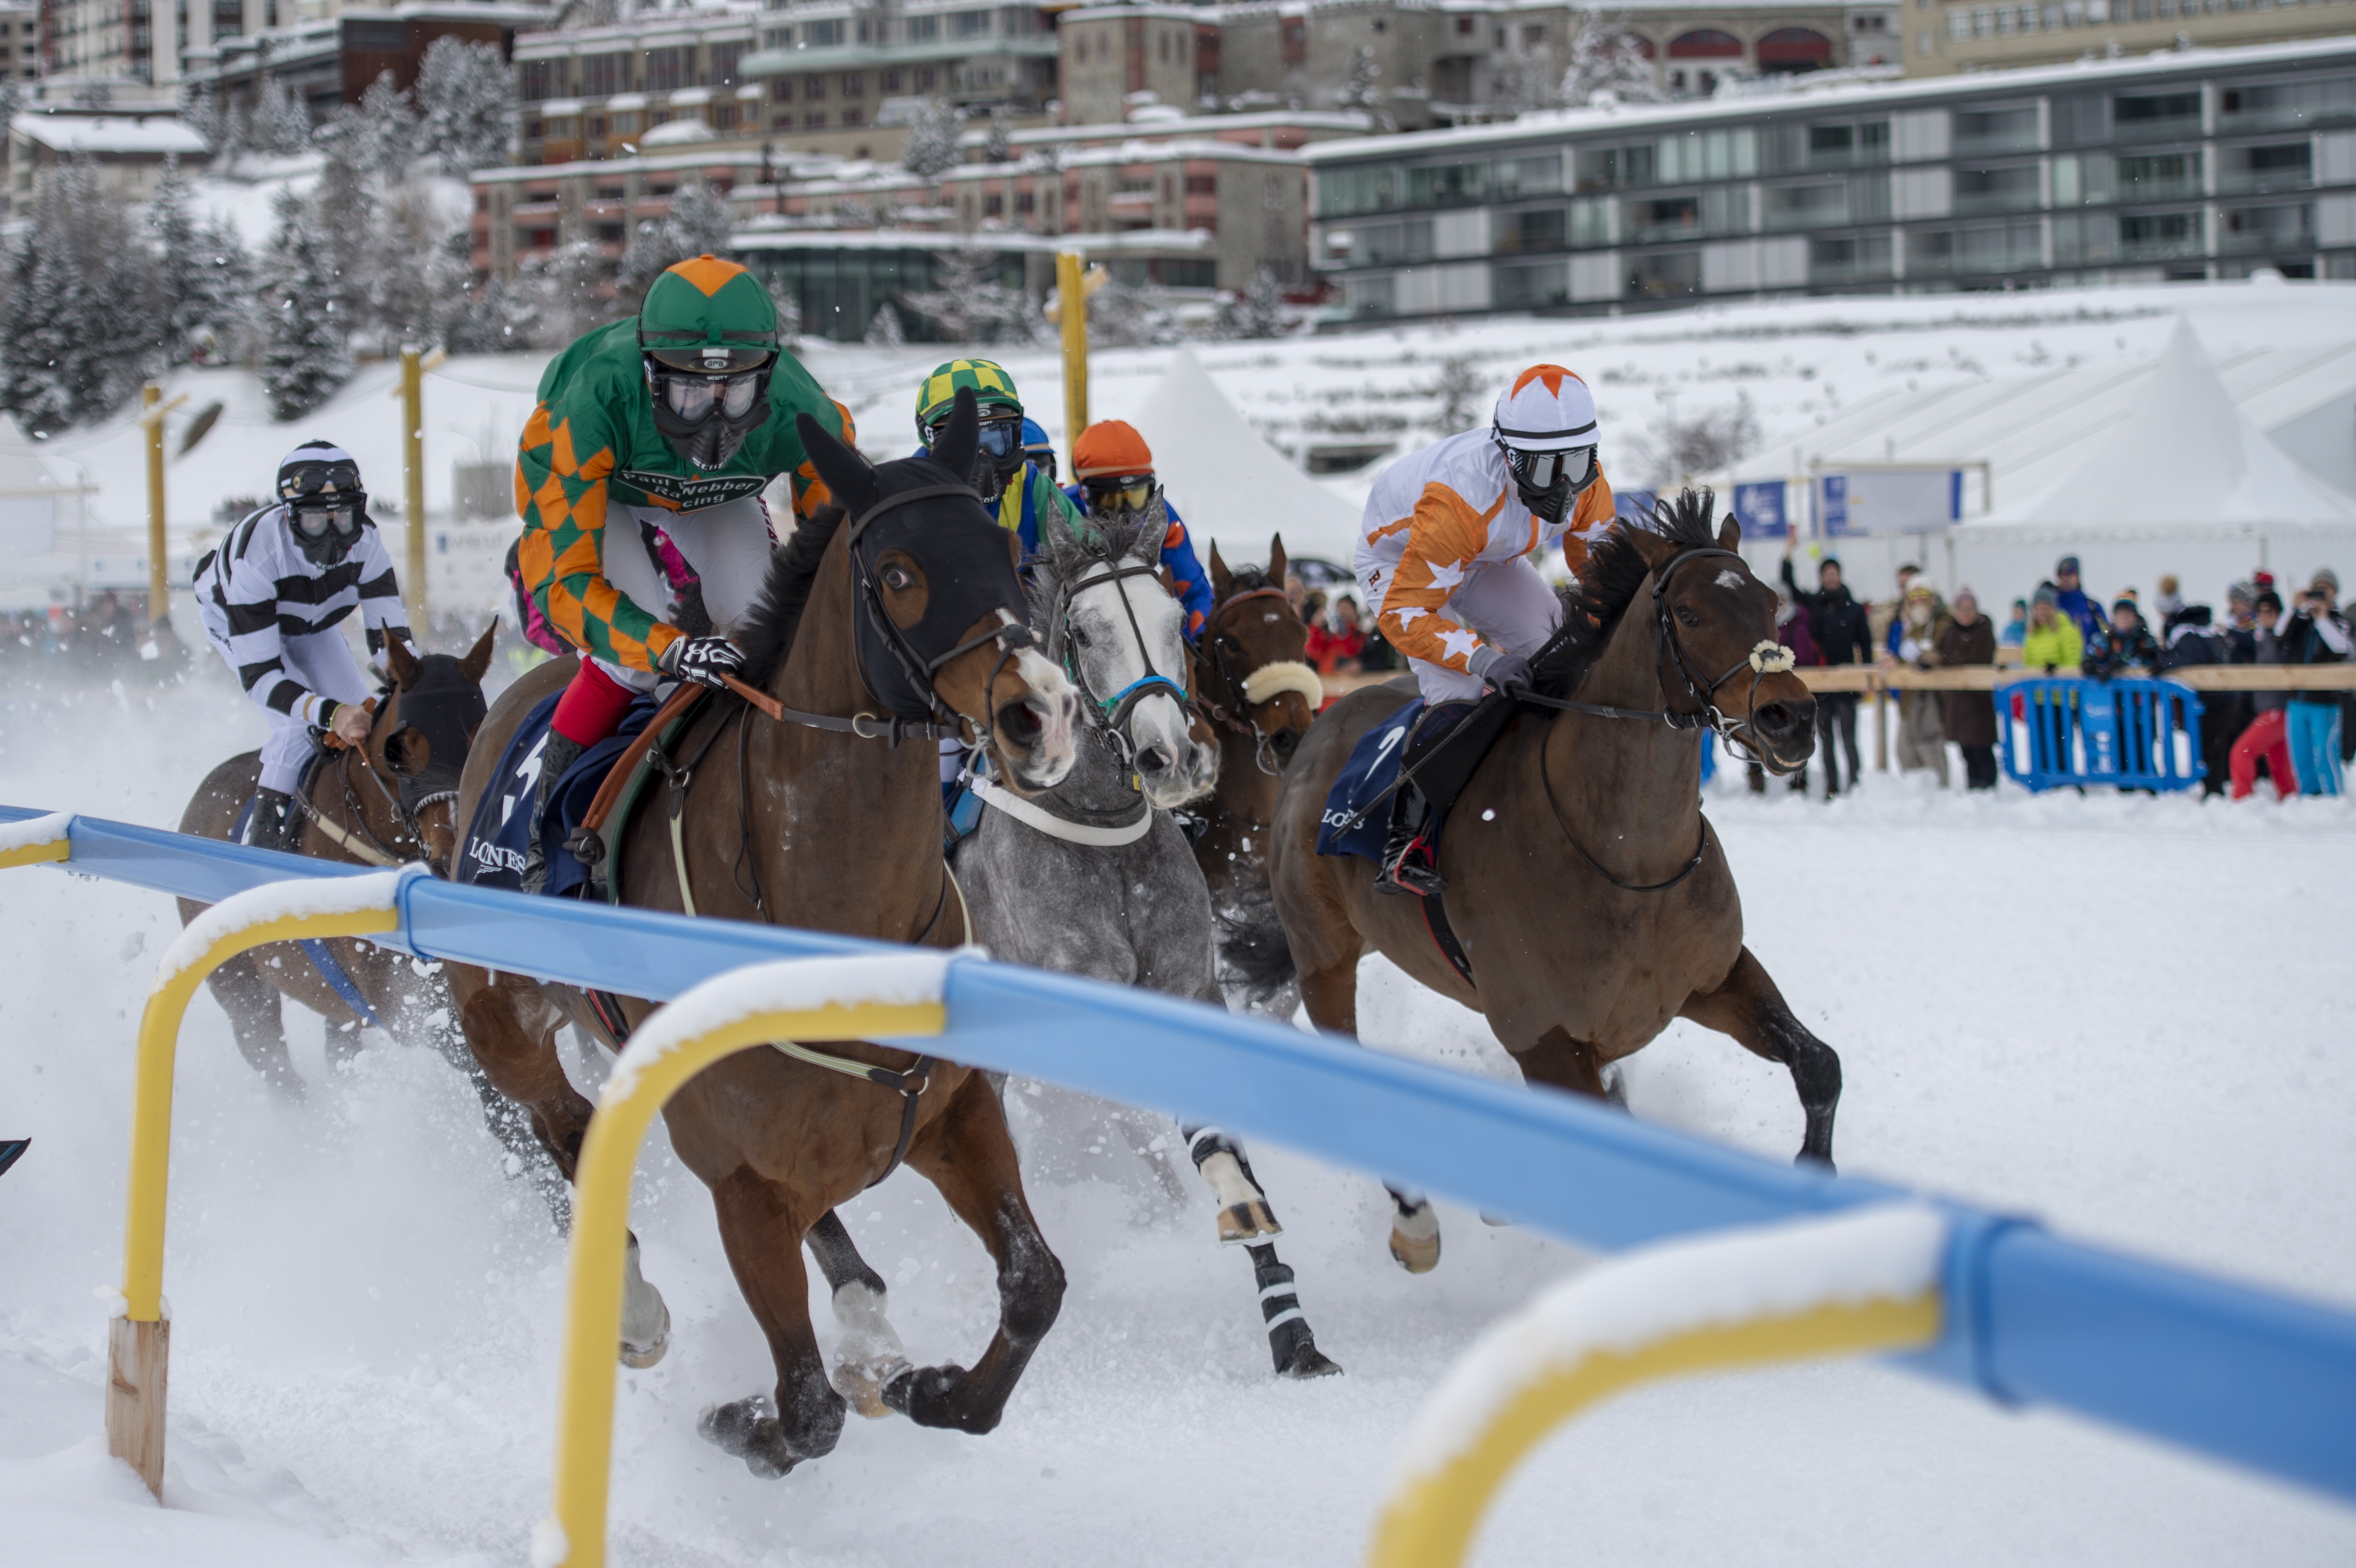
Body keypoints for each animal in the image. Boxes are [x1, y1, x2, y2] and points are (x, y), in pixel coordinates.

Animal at [445, 398, 1079, 1469]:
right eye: (898, 575)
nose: (1040, 711)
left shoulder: (951, 1113)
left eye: (1009, 552)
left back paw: (867, 1328)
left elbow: (1035, 1285)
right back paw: (636, 1309)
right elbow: (806, 1410)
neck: (834, 920)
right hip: (501, 1023)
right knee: (563, 1126)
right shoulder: (737, 1181)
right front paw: (734, 1419)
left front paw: (932, 1387)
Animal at [1253, 489, 1837, 1271]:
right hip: (1323, 957)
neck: (1628, 861)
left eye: (1772, 602)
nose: (1790, 717)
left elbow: (1819, 1064)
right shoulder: (1546, 1040)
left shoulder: (1711, 981)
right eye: (1689, 613)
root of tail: (1309, 738)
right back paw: (1416, 1224)